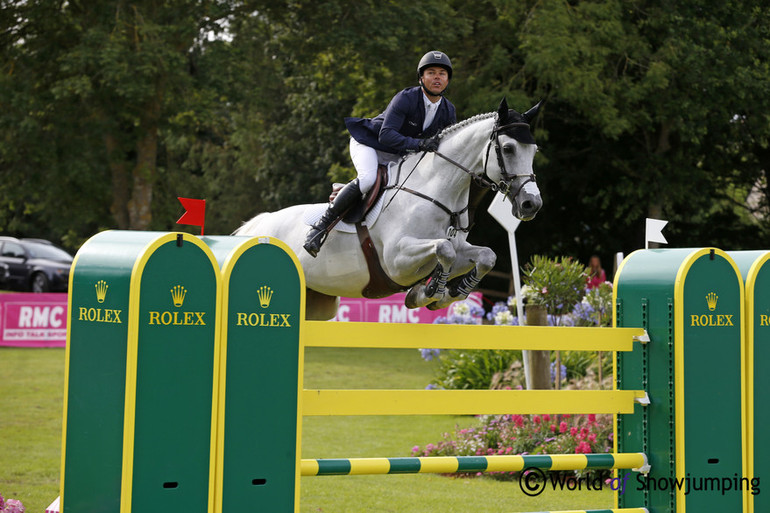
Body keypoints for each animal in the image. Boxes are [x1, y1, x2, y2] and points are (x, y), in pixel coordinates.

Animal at [234, 98, 540, 318]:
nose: (531, 204)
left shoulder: (459, 248)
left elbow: (486, 256)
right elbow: (444, 249)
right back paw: (314, 237)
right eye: (509, 148)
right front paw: (430, 291)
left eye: (534, 150)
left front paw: (451, 293)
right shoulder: (396, 259)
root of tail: (256, 226)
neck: (436, 191)